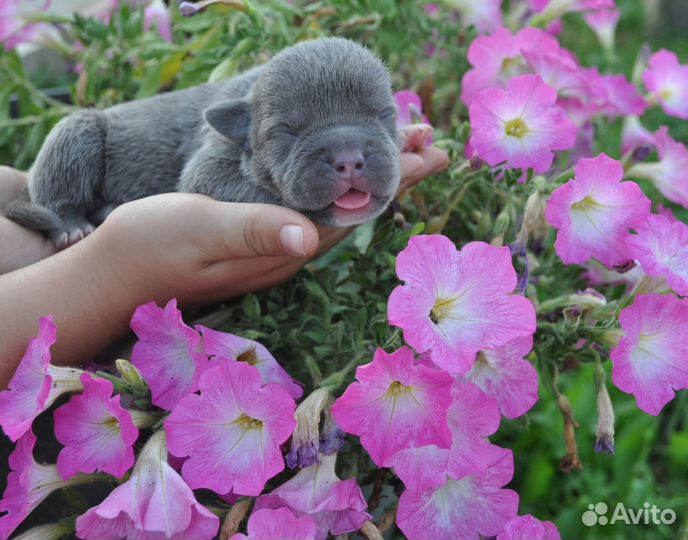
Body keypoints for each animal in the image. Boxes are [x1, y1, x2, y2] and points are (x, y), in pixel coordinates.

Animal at [6, 38, 408, 249]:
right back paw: (74, 225)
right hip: (77, 132)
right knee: (57, 197)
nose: (349, 158)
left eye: (385, 114)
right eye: (286, 132)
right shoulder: (207, 162)